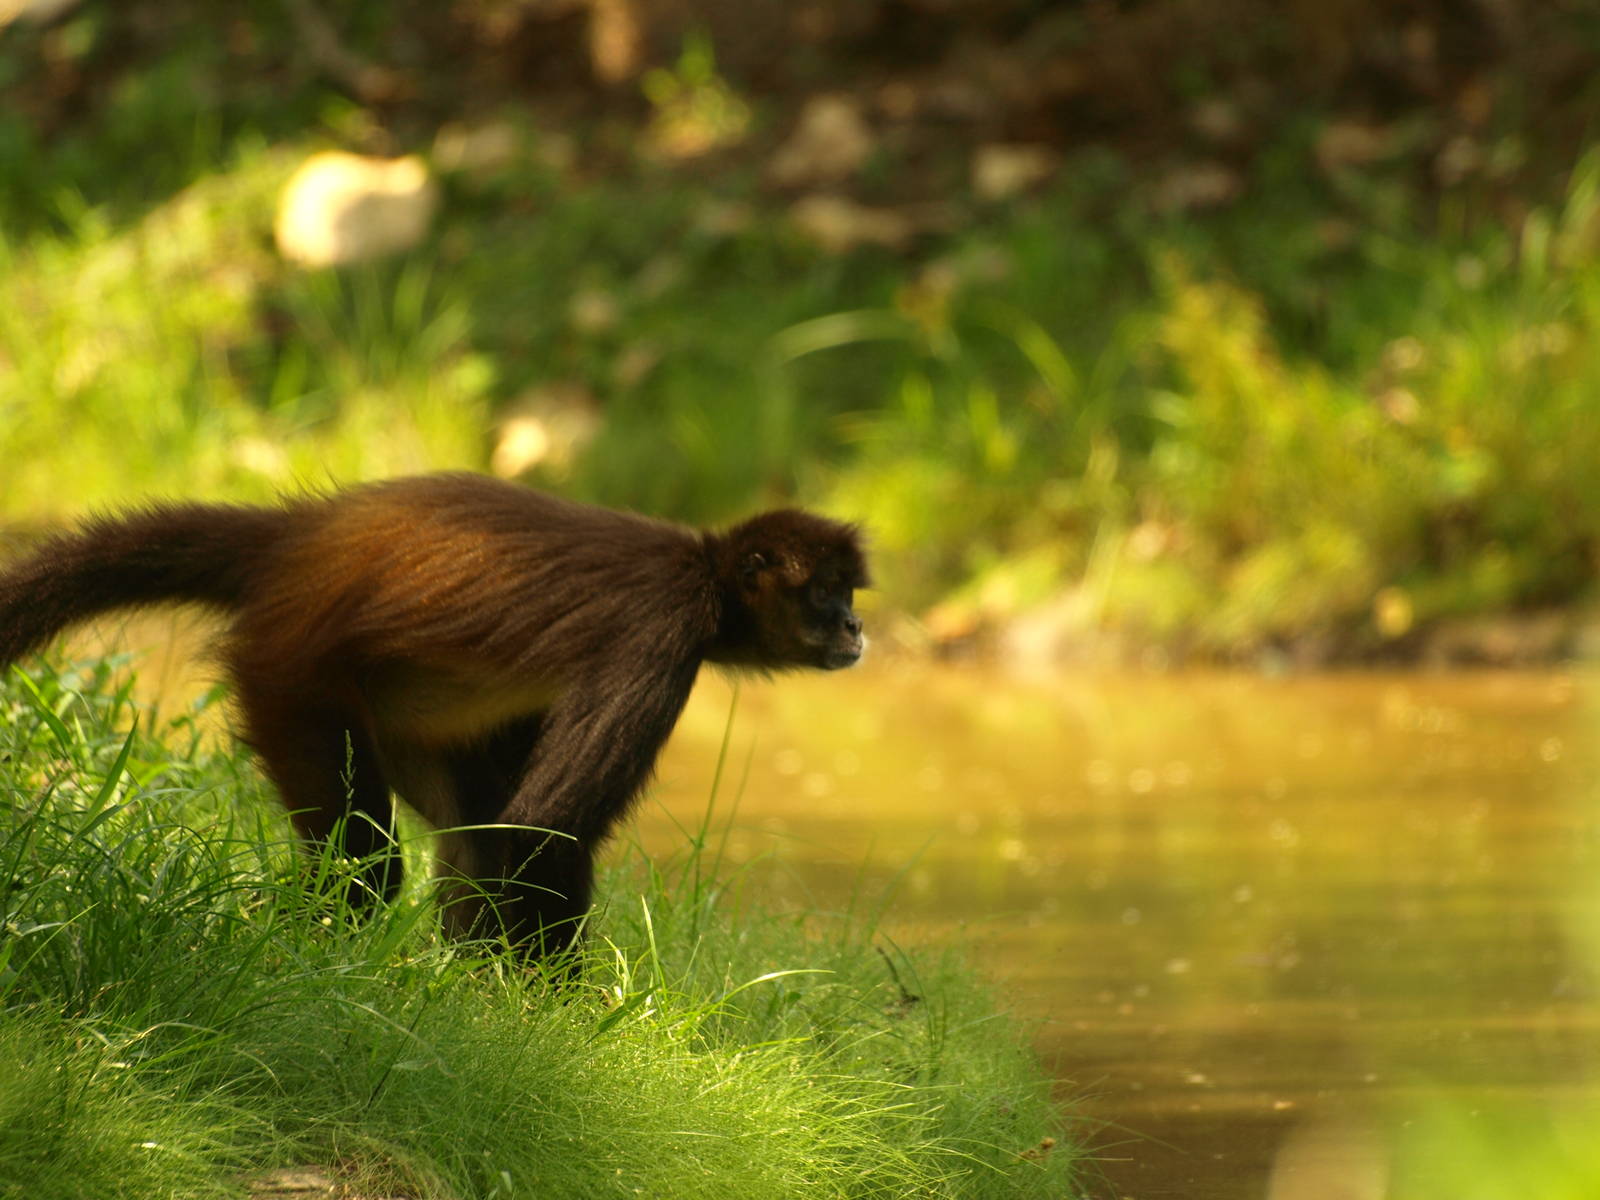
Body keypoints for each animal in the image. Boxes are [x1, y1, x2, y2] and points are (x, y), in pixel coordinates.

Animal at [0, 472, 868, 960]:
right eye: (826, 594)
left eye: (848, 594)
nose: (857, 627)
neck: (702, 571)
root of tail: (297, 540)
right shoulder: (663, 626)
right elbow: (542, 830)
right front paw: (561, 1027)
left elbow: (508, 832)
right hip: (287, 674)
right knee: (369, 868)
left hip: (395, 713)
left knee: (467, 835)